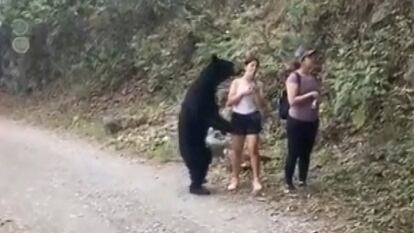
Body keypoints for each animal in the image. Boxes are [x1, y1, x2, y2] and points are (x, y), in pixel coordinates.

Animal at [178, 54, 236, 195]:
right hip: (194, 149)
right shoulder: (202, 100)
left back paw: (202, 181)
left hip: (203, 148)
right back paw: (198, 188)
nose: (239, 67)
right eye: (230, 64)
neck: (208, 84)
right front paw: (233, 126)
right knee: (199, 163)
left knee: (204, 160)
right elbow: (212, 118)